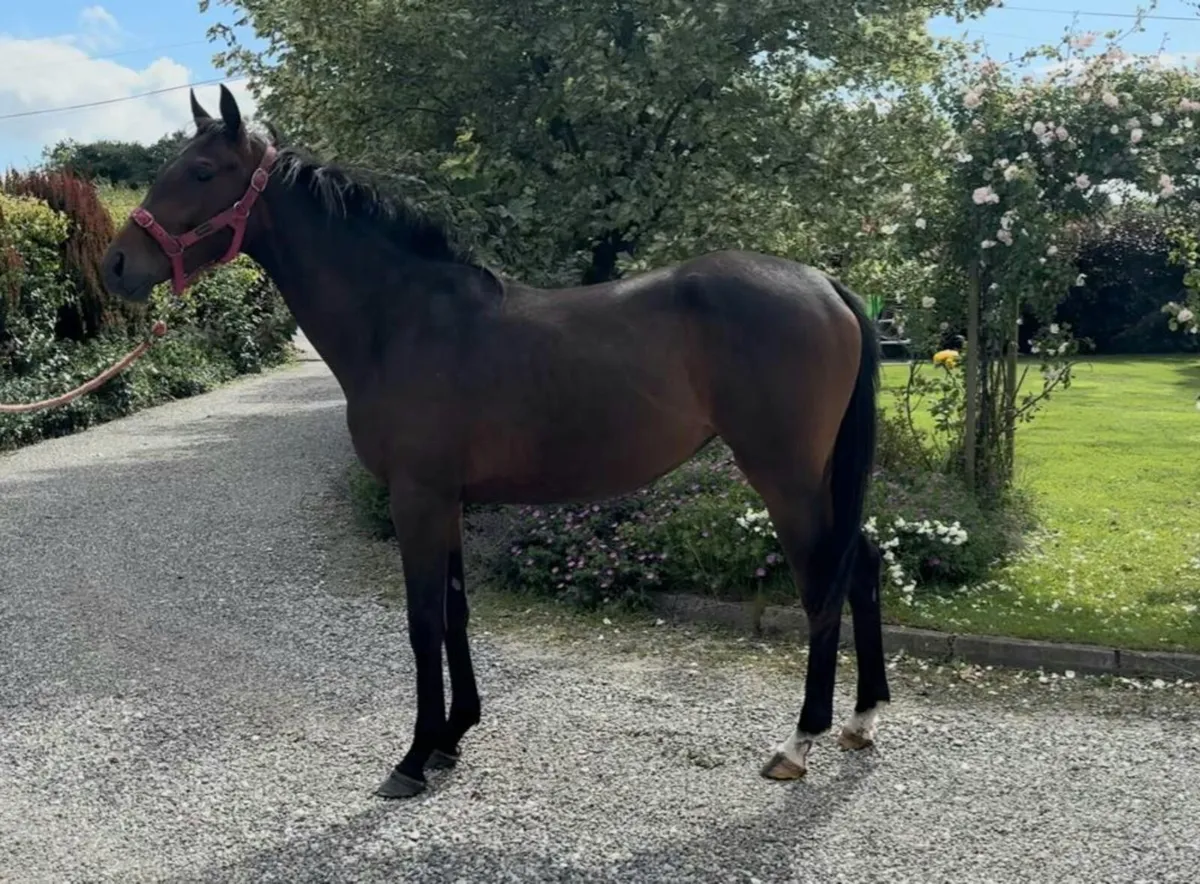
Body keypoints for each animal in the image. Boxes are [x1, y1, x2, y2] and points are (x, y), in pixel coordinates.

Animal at [100, 85, 891, 800]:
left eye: (203, 172)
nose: (115, 265)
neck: (402, 319)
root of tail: (825, 284)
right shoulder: (446, 499)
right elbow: (456, 613)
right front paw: (452, 737)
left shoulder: (416, 498)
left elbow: (423, 624)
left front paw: (413, 758)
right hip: (814, 475)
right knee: (863, 565)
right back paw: (862, 721)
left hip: (783, 475)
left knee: (824, 582)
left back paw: (800, 740)